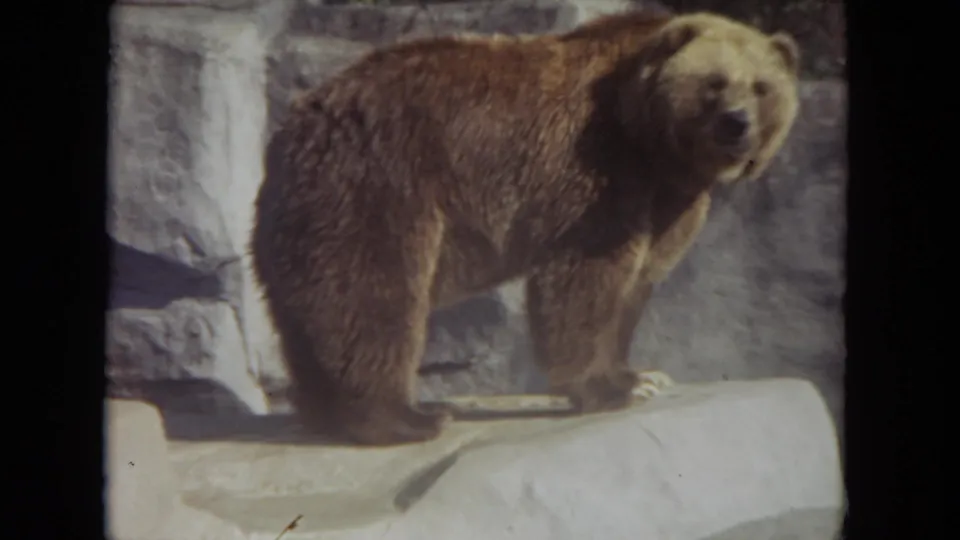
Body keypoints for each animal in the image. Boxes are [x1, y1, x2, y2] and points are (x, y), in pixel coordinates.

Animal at [250, 10, 801, 446]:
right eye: (714, 83)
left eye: (761, 87)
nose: (737, 123)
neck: (653, 142)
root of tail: (291, 127)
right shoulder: (598, 171)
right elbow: (584, 278)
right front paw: (603, 388)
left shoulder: (668, 200)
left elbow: (636, 282)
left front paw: (638, 376)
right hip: (377, 186)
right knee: (373, 298)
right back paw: (410, 418)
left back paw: (326, 415)